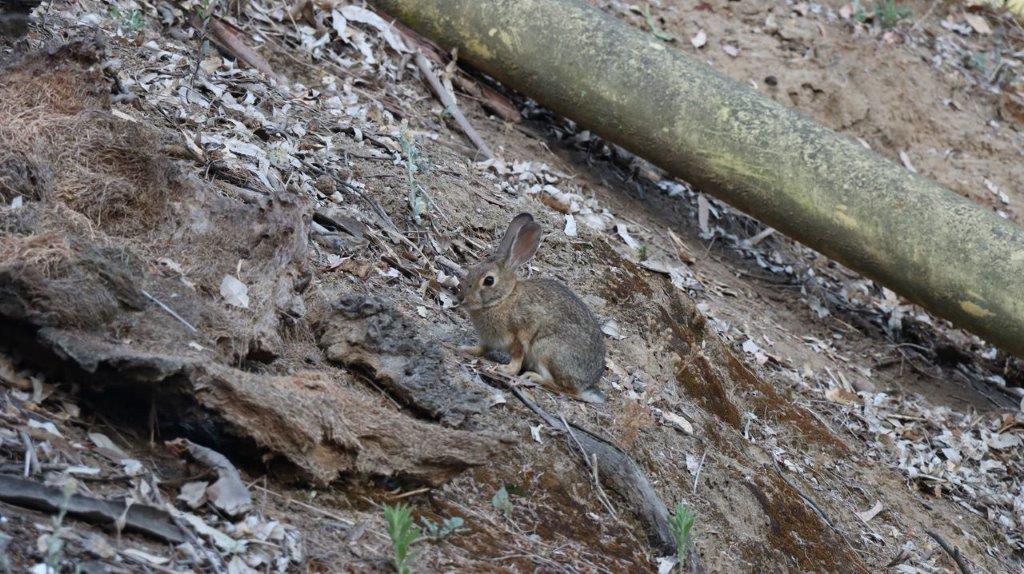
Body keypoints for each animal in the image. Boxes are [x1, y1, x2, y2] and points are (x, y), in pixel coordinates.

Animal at [458, 211, 606, 403]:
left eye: (489, 280)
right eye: (472, 269)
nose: (461, 298)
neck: (504, 299)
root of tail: (585, 384)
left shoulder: (522, 333)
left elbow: (517, 356)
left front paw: (506, 370)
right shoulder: (488, 340)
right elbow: (481, 348)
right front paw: (465, 349)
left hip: (547, 350)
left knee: (563, 388)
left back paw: (533, 377)